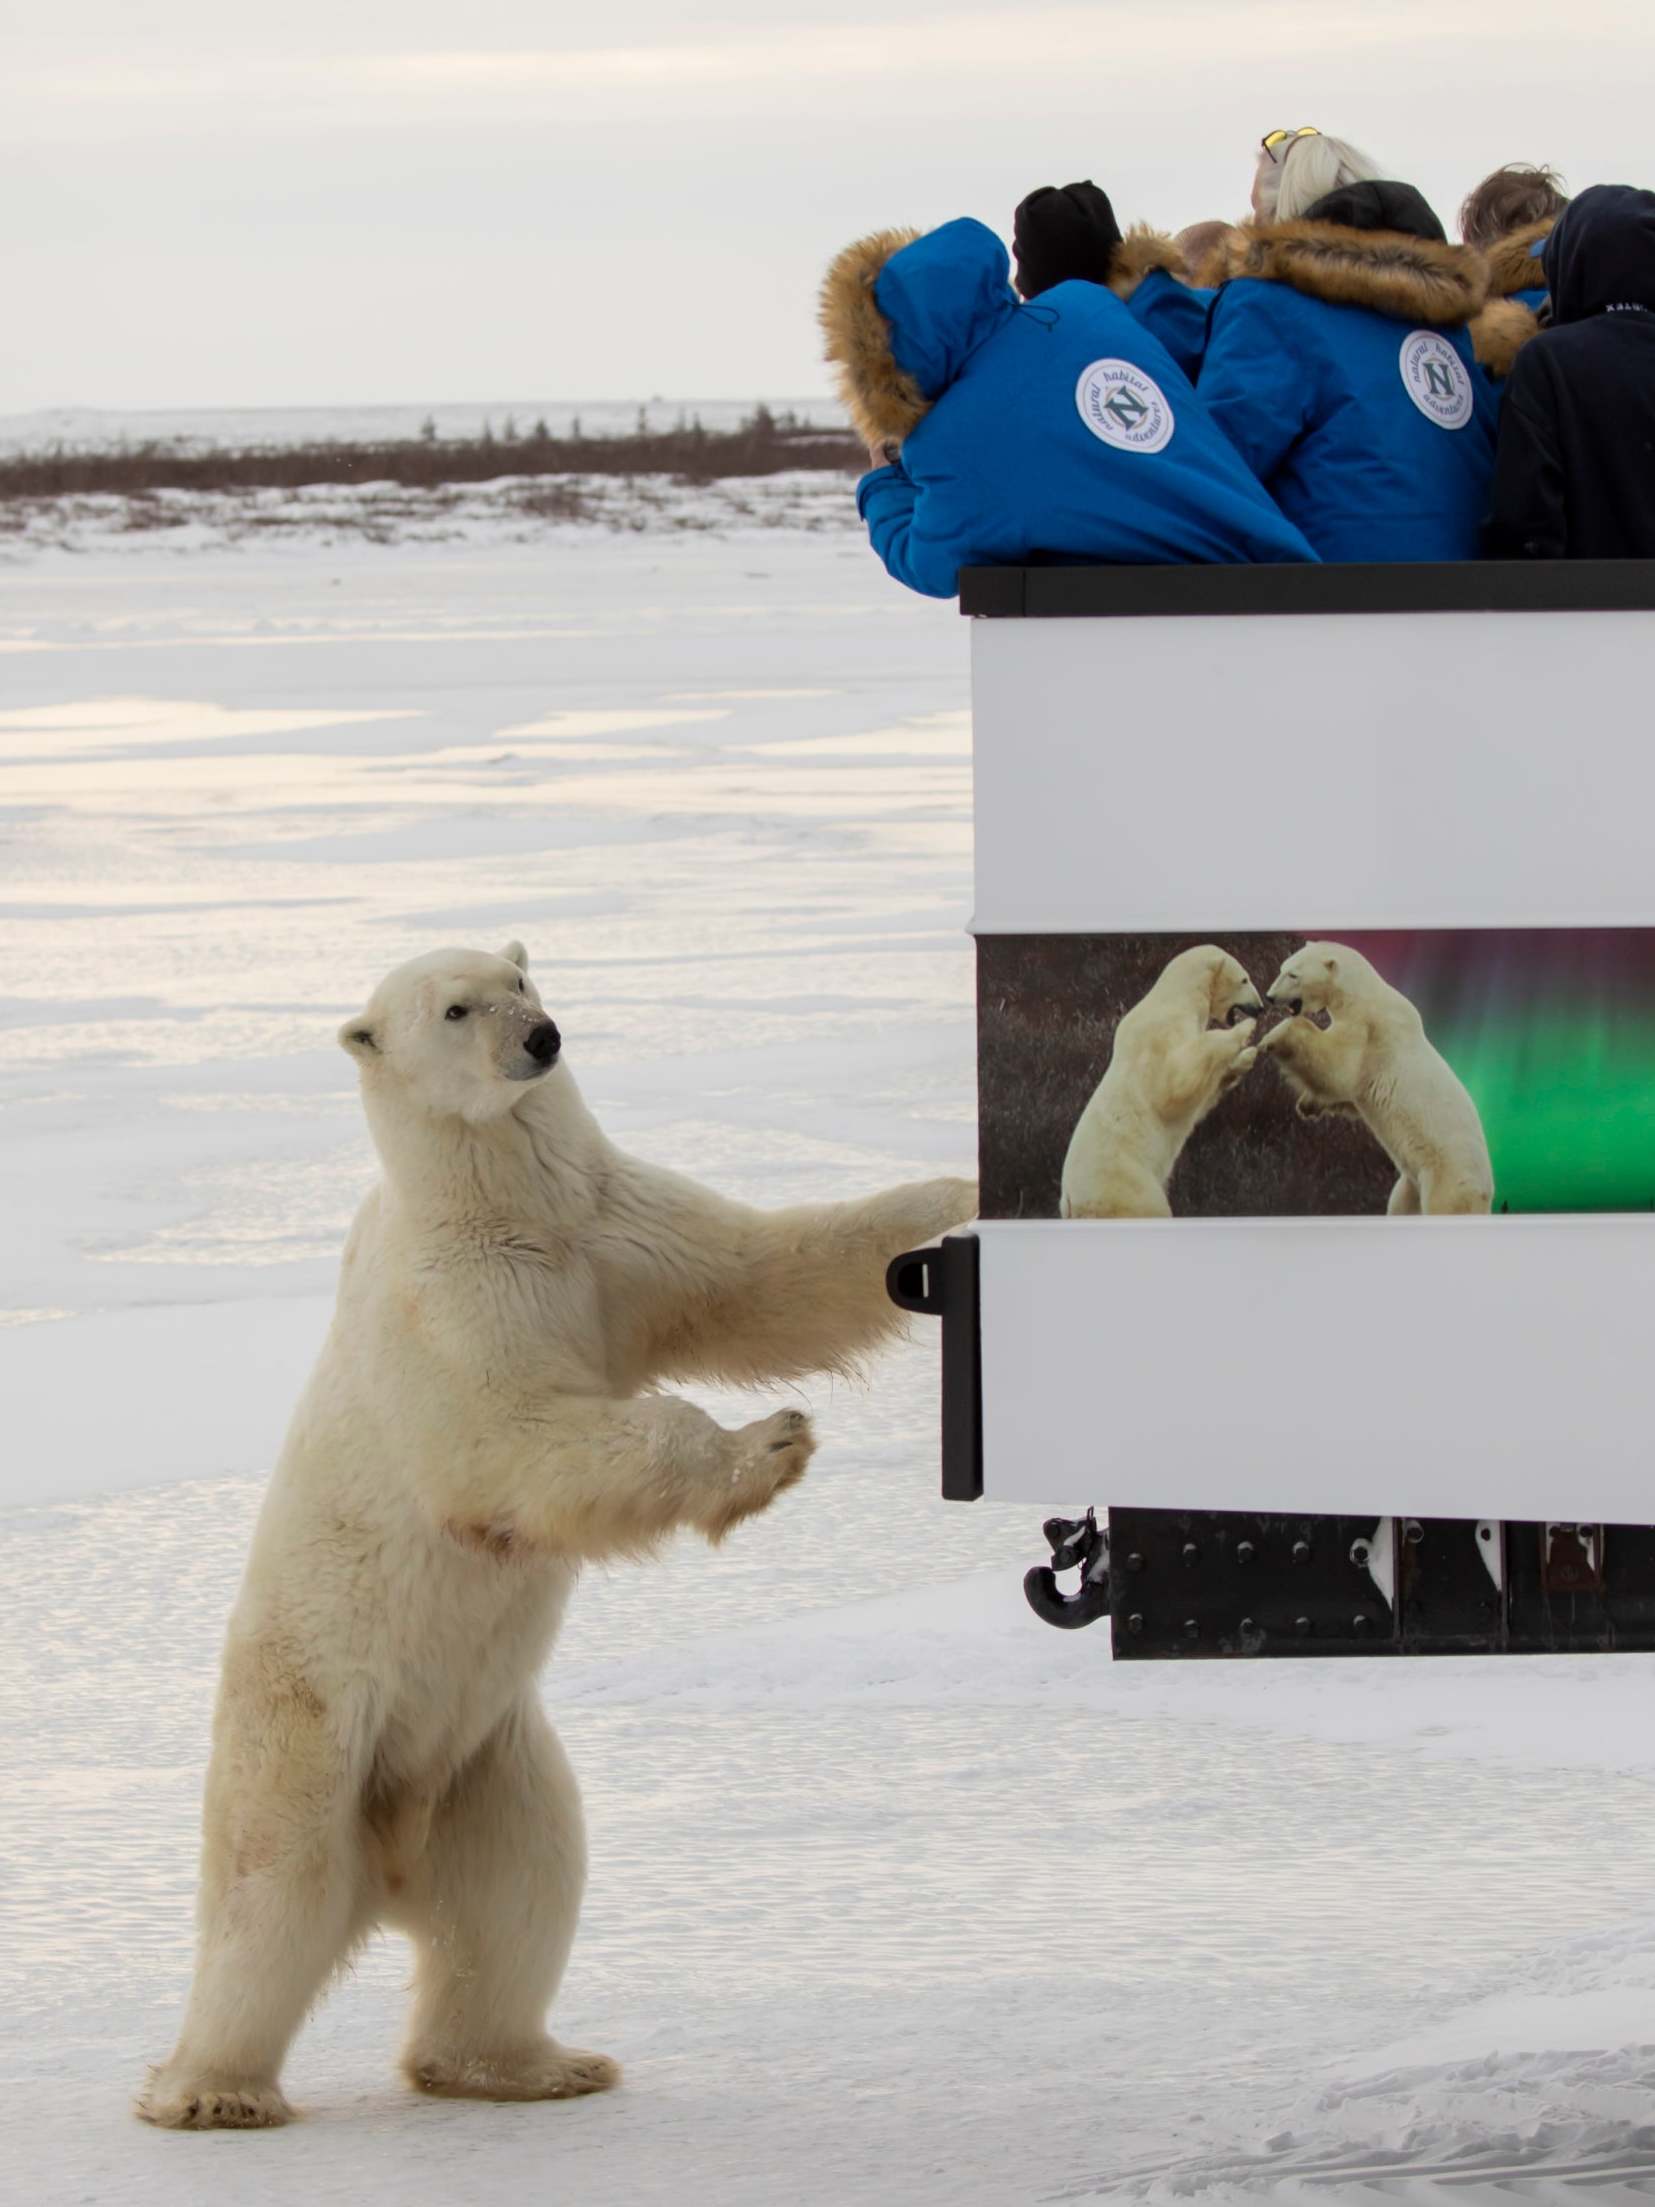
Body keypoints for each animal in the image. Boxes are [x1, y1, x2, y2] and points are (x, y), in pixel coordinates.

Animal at [142, 940, 979, 2127]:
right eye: (457, 1008)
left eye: (520, 981)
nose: (540, 1039)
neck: (507, 1208)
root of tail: (389, 1845)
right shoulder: (456, 1301)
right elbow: (511, 1438)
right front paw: (768, 1444)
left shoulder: (616, 1230)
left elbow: (765, 1273)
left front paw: (955, 1192)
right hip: (310, 1724)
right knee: (269, 1899)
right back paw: (211, 2091)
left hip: (486, 1763)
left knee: (520, 1890)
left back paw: (526, 2063)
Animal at [1262, 940, 1500, 1218]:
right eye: (1283, 968)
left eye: (1293, 975)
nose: (1269, 996)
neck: (1363, 996)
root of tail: (1488, 1194)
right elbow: (1345, 1092)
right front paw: (1307, 1105)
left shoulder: (1369, 1031)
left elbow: (1338, 1068)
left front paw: (1271, 1038)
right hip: (1411, 1182)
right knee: (1400, 1204)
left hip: (1450, 1178)